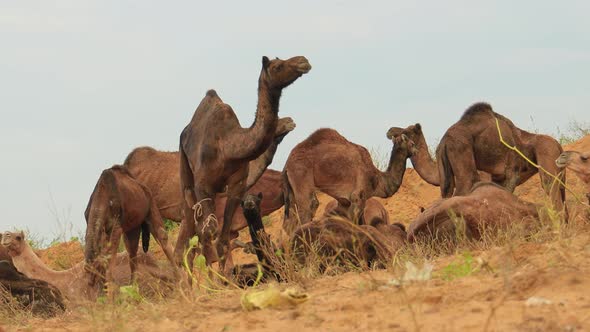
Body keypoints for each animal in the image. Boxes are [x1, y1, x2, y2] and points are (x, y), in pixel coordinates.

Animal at [176, 55, 312, 272]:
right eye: (278, 65)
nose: (303, 61)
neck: (229, 146)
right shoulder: (204, 186)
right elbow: (210, 234)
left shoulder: (237, 186)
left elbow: (223, 241)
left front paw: (227, 278)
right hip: (187, 180)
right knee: (194, 236)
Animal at [284, 128, 418, 232]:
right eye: (412, 143)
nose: (416, 151)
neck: (378, 180)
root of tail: (287, 163)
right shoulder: (358, 196)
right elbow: (357, 224)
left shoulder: (345, 202)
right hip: (301, 173)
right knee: (308, 207)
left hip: (291, 188)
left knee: (289, 220)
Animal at [388, 102, 568, 213]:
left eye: (407, 132)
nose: (390, 132)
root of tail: (558, 145)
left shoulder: (501, 174)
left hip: (546, 156)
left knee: (551, 187)